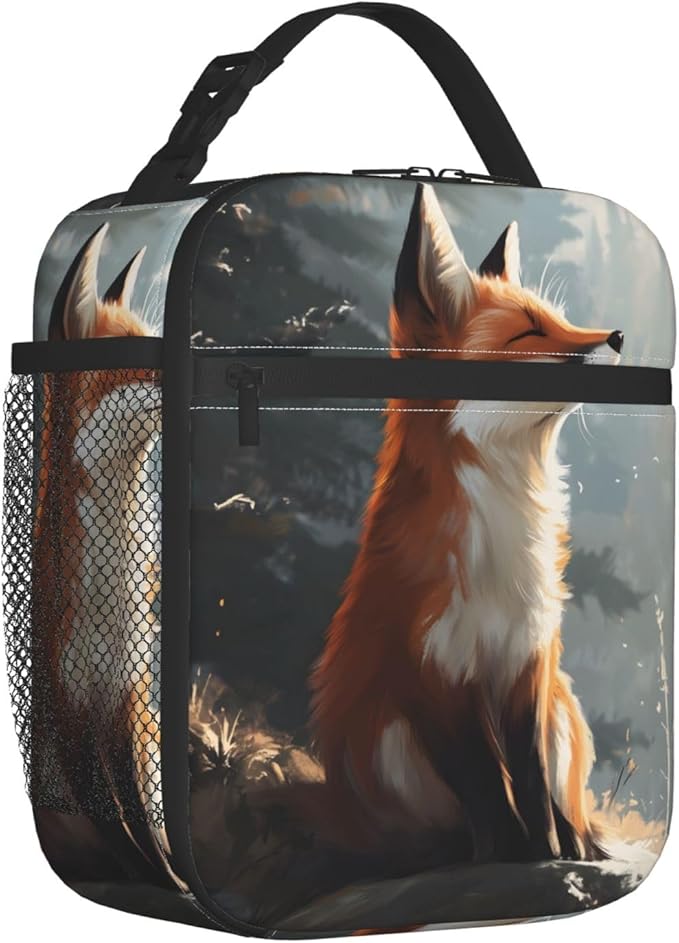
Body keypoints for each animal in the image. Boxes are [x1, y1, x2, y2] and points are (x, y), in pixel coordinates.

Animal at [311, 184, 624, 864]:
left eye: (555, 318)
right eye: (529, 331)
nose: (616, 335)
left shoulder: (529, 658)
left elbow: (529, 780)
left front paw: (552, 852)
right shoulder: (436, 670)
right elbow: (488, 784)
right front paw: (516, 854)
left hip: (562, 707)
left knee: (567, 799)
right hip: (386, 741)